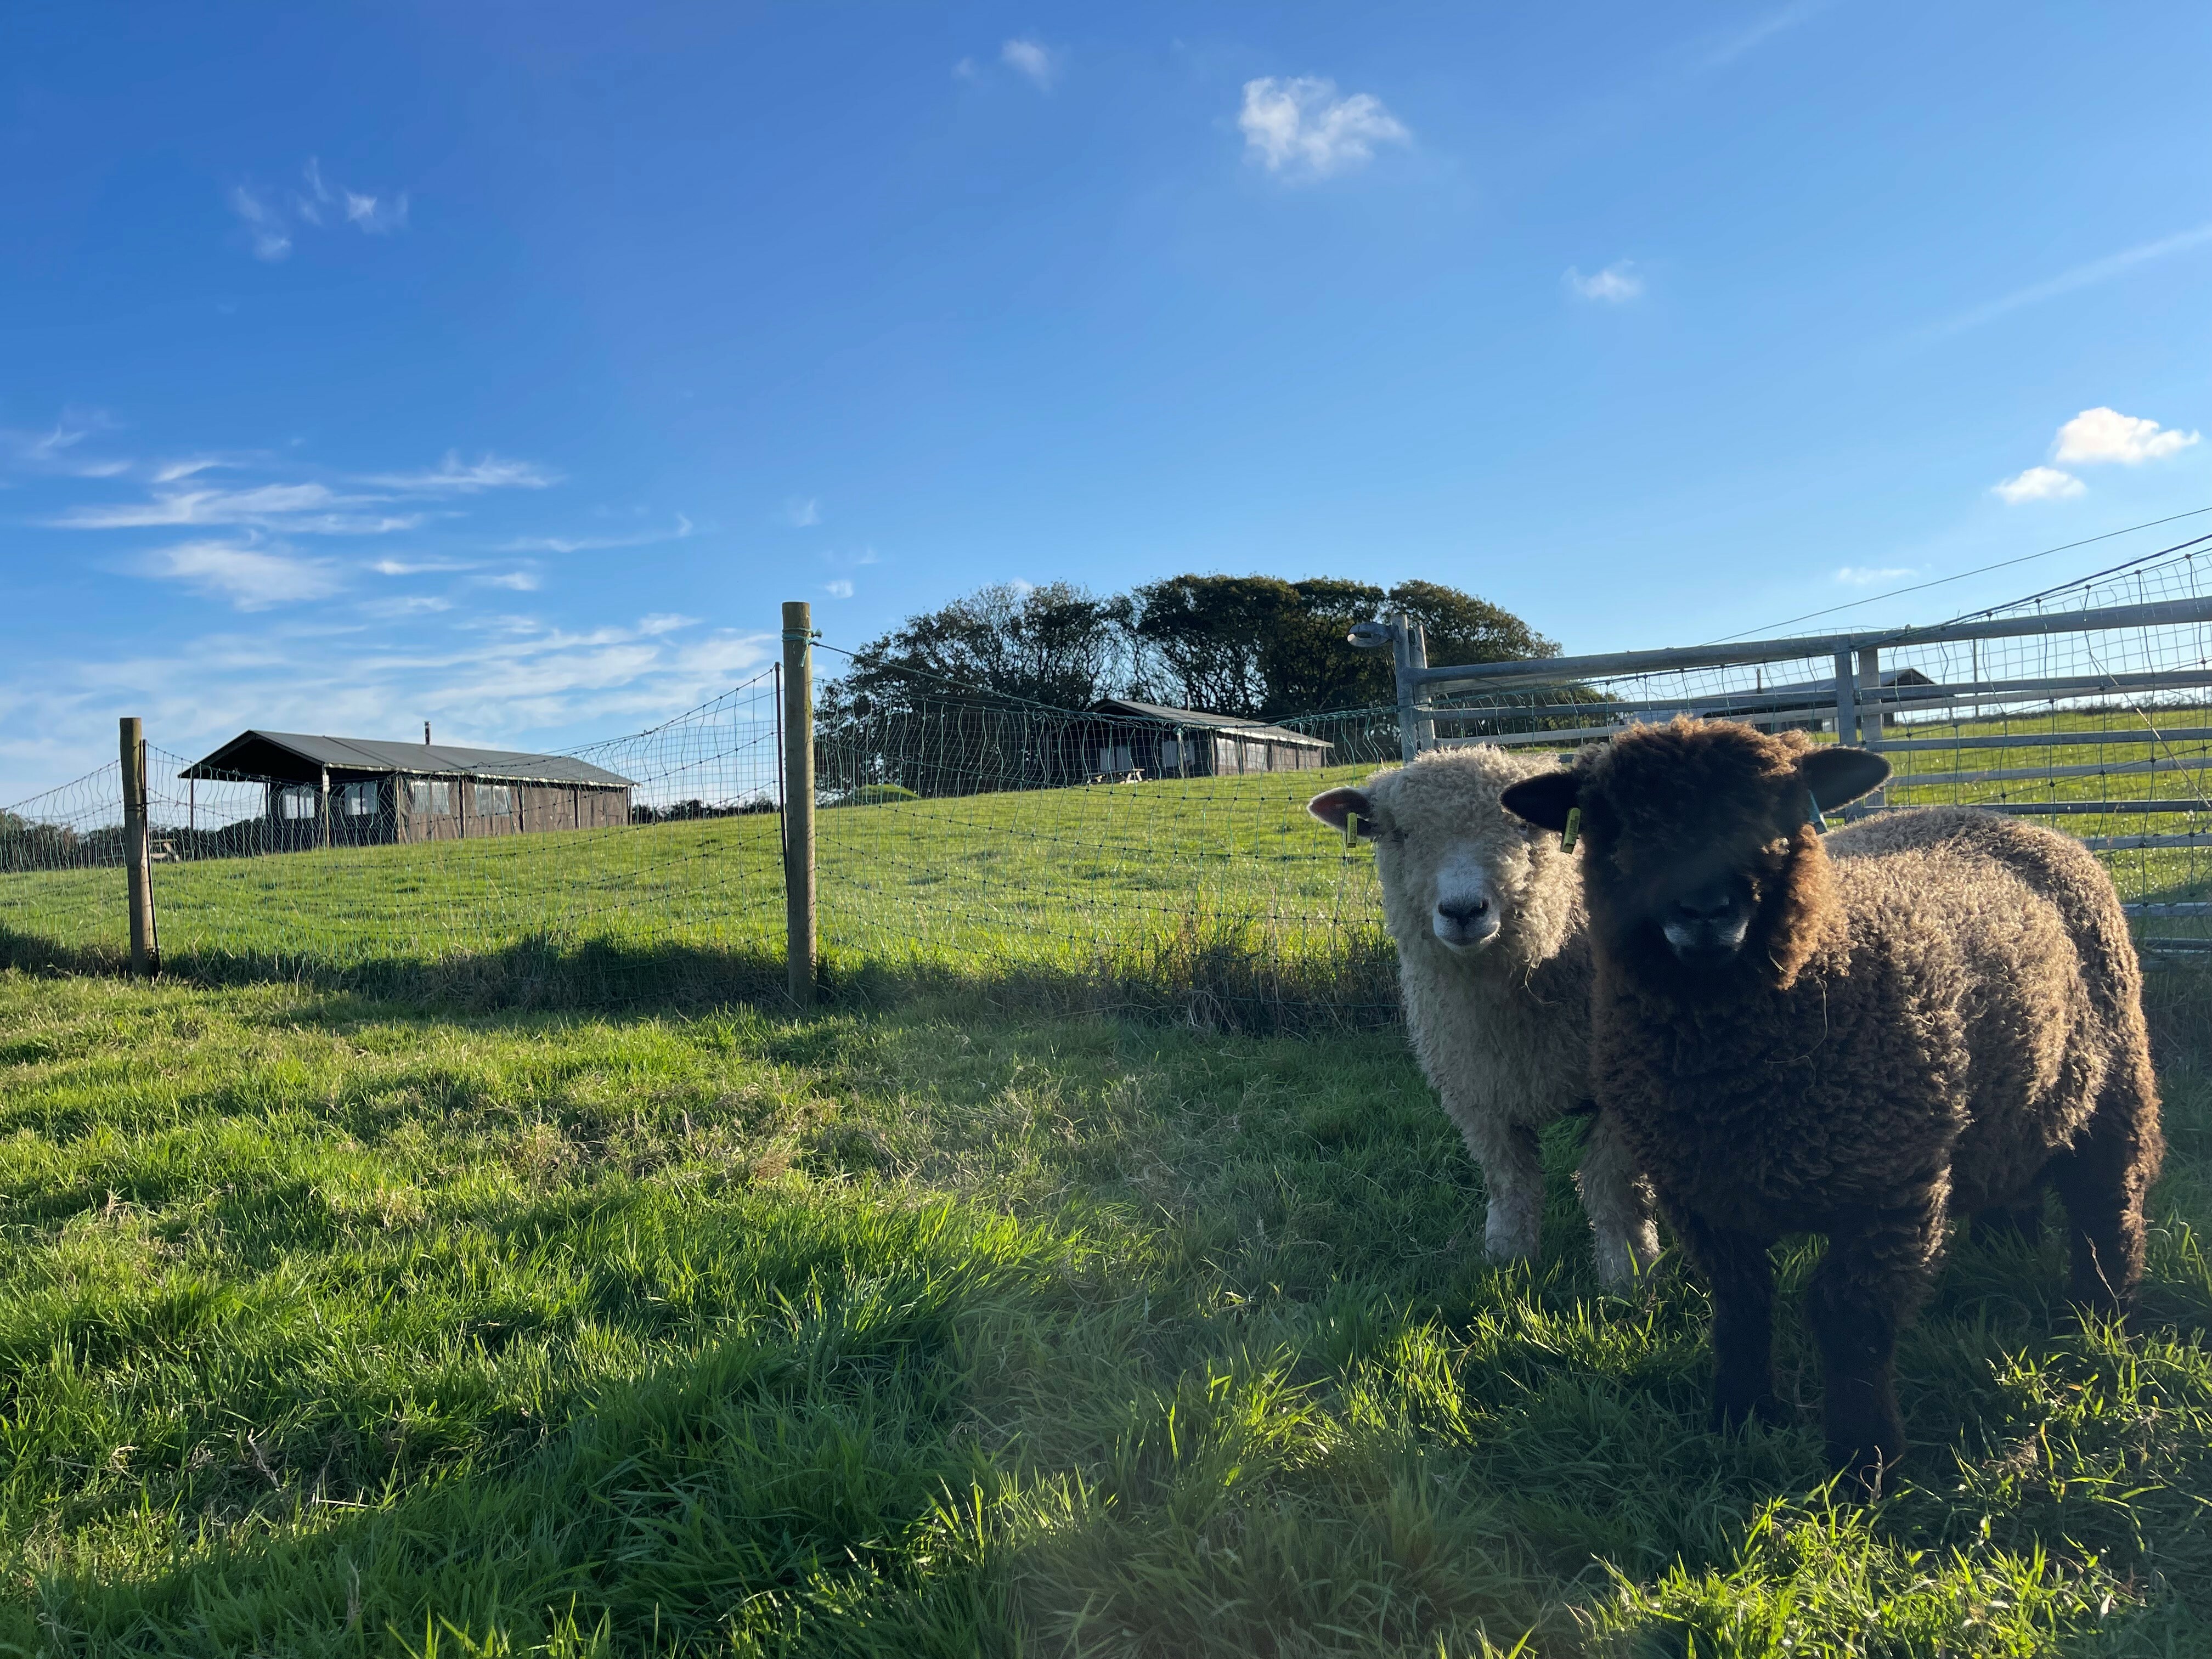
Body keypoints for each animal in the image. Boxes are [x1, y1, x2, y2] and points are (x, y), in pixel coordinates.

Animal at [1300, 747, 1654, 1291]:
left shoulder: (1630, 1090)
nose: (1463, 910)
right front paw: (1508, 1263)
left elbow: (1610, 1185)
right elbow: (1511, 1184)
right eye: (1400, 833)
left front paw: (1628, 1276)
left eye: (1525, 827)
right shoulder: (1479, 1095)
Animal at [1504, 725, 2159, 1495]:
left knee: (2106, 1205)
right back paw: (2012, 1247)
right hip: (2009, 1100)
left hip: (2116, 1077)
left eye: (1775, 811)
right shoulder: (1699, 1190)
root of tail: (2021, 824)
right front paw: (1741, 1415)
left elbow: (1848, 1316)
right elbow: (1742, 1301)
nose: (1704, 909)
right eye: (1615, 821)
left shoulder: (1888, 1182)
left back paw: (2099, 1318)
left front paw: (1863, 1460)